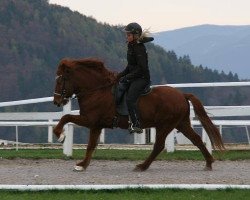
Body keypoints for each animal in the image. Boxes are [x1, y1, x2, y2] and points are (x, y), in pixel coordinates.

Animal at [52, 58, 225, 172]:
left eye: (60, 80)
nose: (57, 101)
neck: (96, 91)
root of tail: (182, 95)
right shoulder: (96, 125)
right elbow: (91, 145)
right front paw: (82, 165)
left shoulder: (90, 120)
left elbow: (66, 118)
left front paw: (60, 136)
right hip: (181, 123)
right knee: (196, 140)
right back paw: (209, 163)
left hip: (165, 125)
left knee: (159, 145)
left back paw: (142, 166)